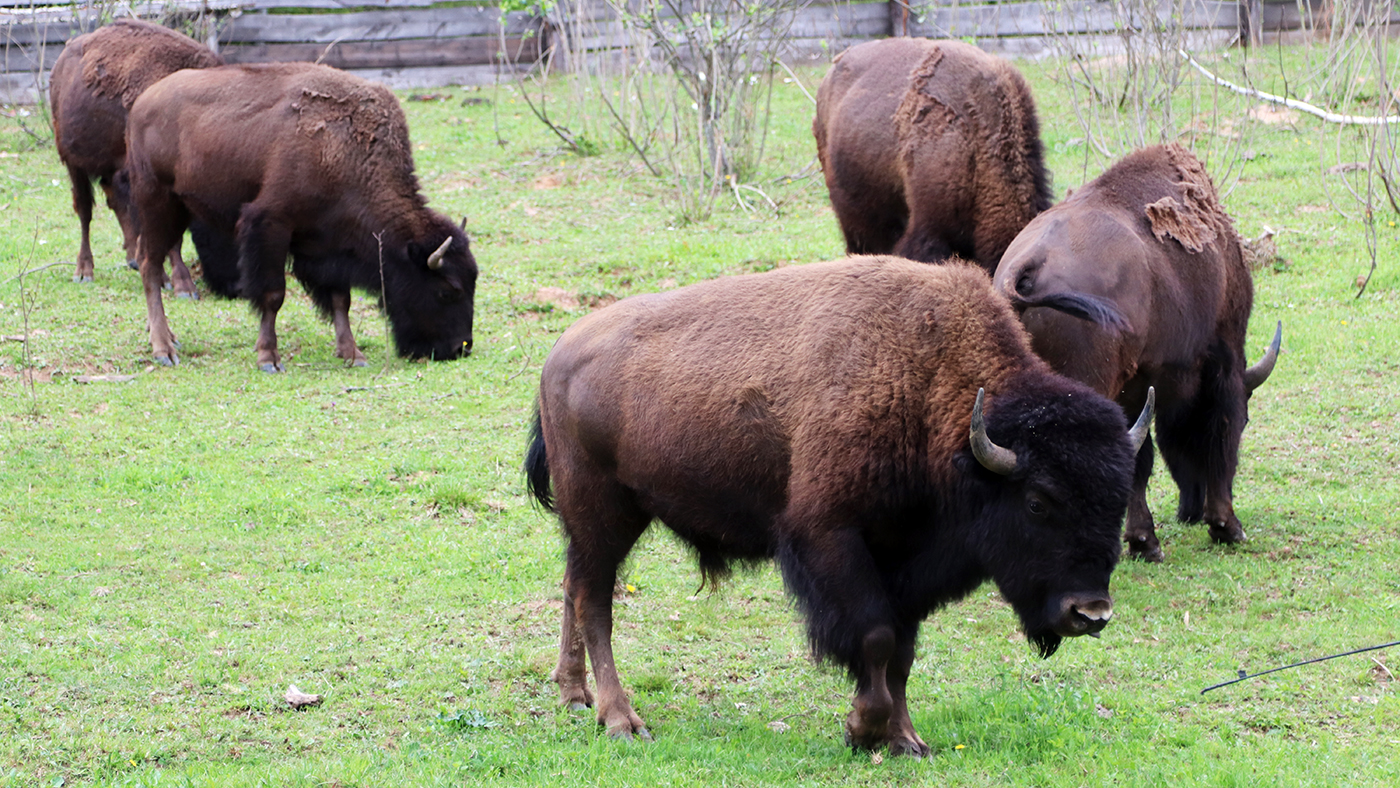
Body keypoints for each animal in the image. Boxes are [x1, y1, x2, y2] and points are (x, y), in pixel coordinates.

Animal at [48, 18, 226, 298]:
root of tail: (62, 60)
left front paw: (167, 278)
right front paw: (184, 286)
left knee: (115, 200)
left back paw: (133, 259)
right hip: (73, 161)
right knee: (85, 211)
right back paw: (84, 272)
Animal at [131, 63, 481, 372]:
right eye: (447, 290)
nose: (460, 348)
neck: (346, 150)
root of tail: (143, 101)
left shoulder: (330, 244)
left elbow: (341, 299)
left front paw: (352, 354)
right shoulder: (271, 226)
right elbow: (273, 296)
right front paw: (269, 359)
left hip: (179, 209)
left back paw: (168, 339)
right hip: (157, 203)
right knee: (149, 267)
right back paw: (163, 349)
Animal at [526, 256, 1148, 755]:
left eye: (1117, 501)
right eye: (1039, 502)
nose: (1091, 613)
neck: (924, 383)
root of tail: (557, 355)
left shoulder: (905, 564)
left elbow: (902, 651)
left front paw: (905, 739)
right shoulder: (830, 538)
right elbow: (875, 638)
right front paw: (863, 730)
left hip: (598, 524)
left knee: (573, 587)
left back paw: (574, 695)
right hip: (603, 514)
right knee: (594, 602)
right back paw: (621, 720)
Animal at [996, 144, 1282, 565]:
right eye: (1247, 420)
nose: (1189, 510)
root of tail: (1029, 268)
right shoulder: (1220, 363)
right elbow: (1210, 434)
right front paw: (1222, 528)